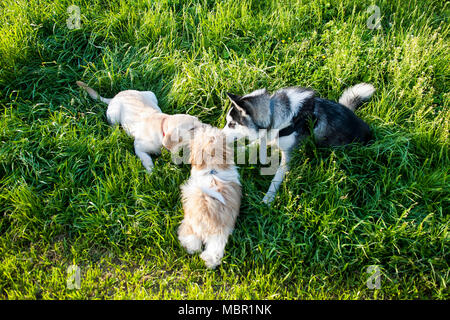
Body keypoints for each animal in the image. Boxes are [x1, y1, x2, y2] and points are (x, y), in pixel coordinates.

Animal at [164, 124, 243, 268]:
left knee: (190, 239)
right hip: (218, 233)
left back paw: (192, 249)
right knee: (213, 250)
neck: (212, 169)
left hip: (190, 224)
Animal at [222, 82, 376, 202]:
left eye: (232, 124)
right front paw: (237, 150)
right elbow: (255, 144)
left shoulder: (288, 156)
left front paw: (268, 199)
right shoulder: (272, 137)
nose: (220, 136)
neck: (274, 115)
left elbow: (276, 179)